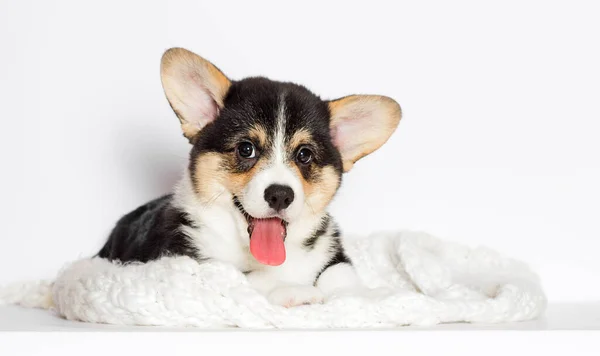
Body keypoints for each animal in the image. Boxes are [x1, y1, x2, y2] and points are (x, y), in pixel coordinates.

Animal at [96, 47, 400, 308]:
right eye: (246, 149)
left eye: (304, 155)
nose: (280, 195)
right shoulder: (196, 263)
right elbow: (252, 277)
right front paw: (295, 290)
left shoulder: (330, 252)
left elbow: (339, 273)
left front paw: (365, 295)